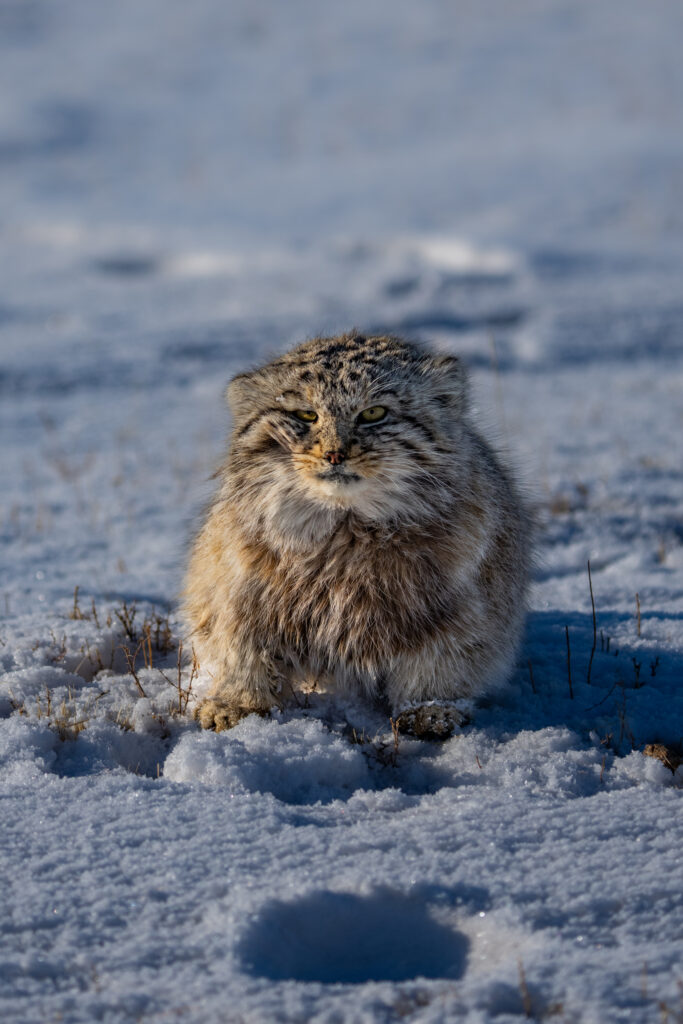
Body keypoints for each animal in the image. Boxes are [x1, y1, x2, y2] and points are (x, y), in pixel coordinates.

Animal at [184, 329, 532, 737]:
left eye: (373, 413)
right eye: (306, 414)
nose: (335, 454)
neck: (343, 533)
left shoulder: (452, 609)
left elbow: (441, 660)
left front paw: (430, 710)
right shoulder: (242, 593)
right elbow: (241, 651)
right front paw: (238, 703)